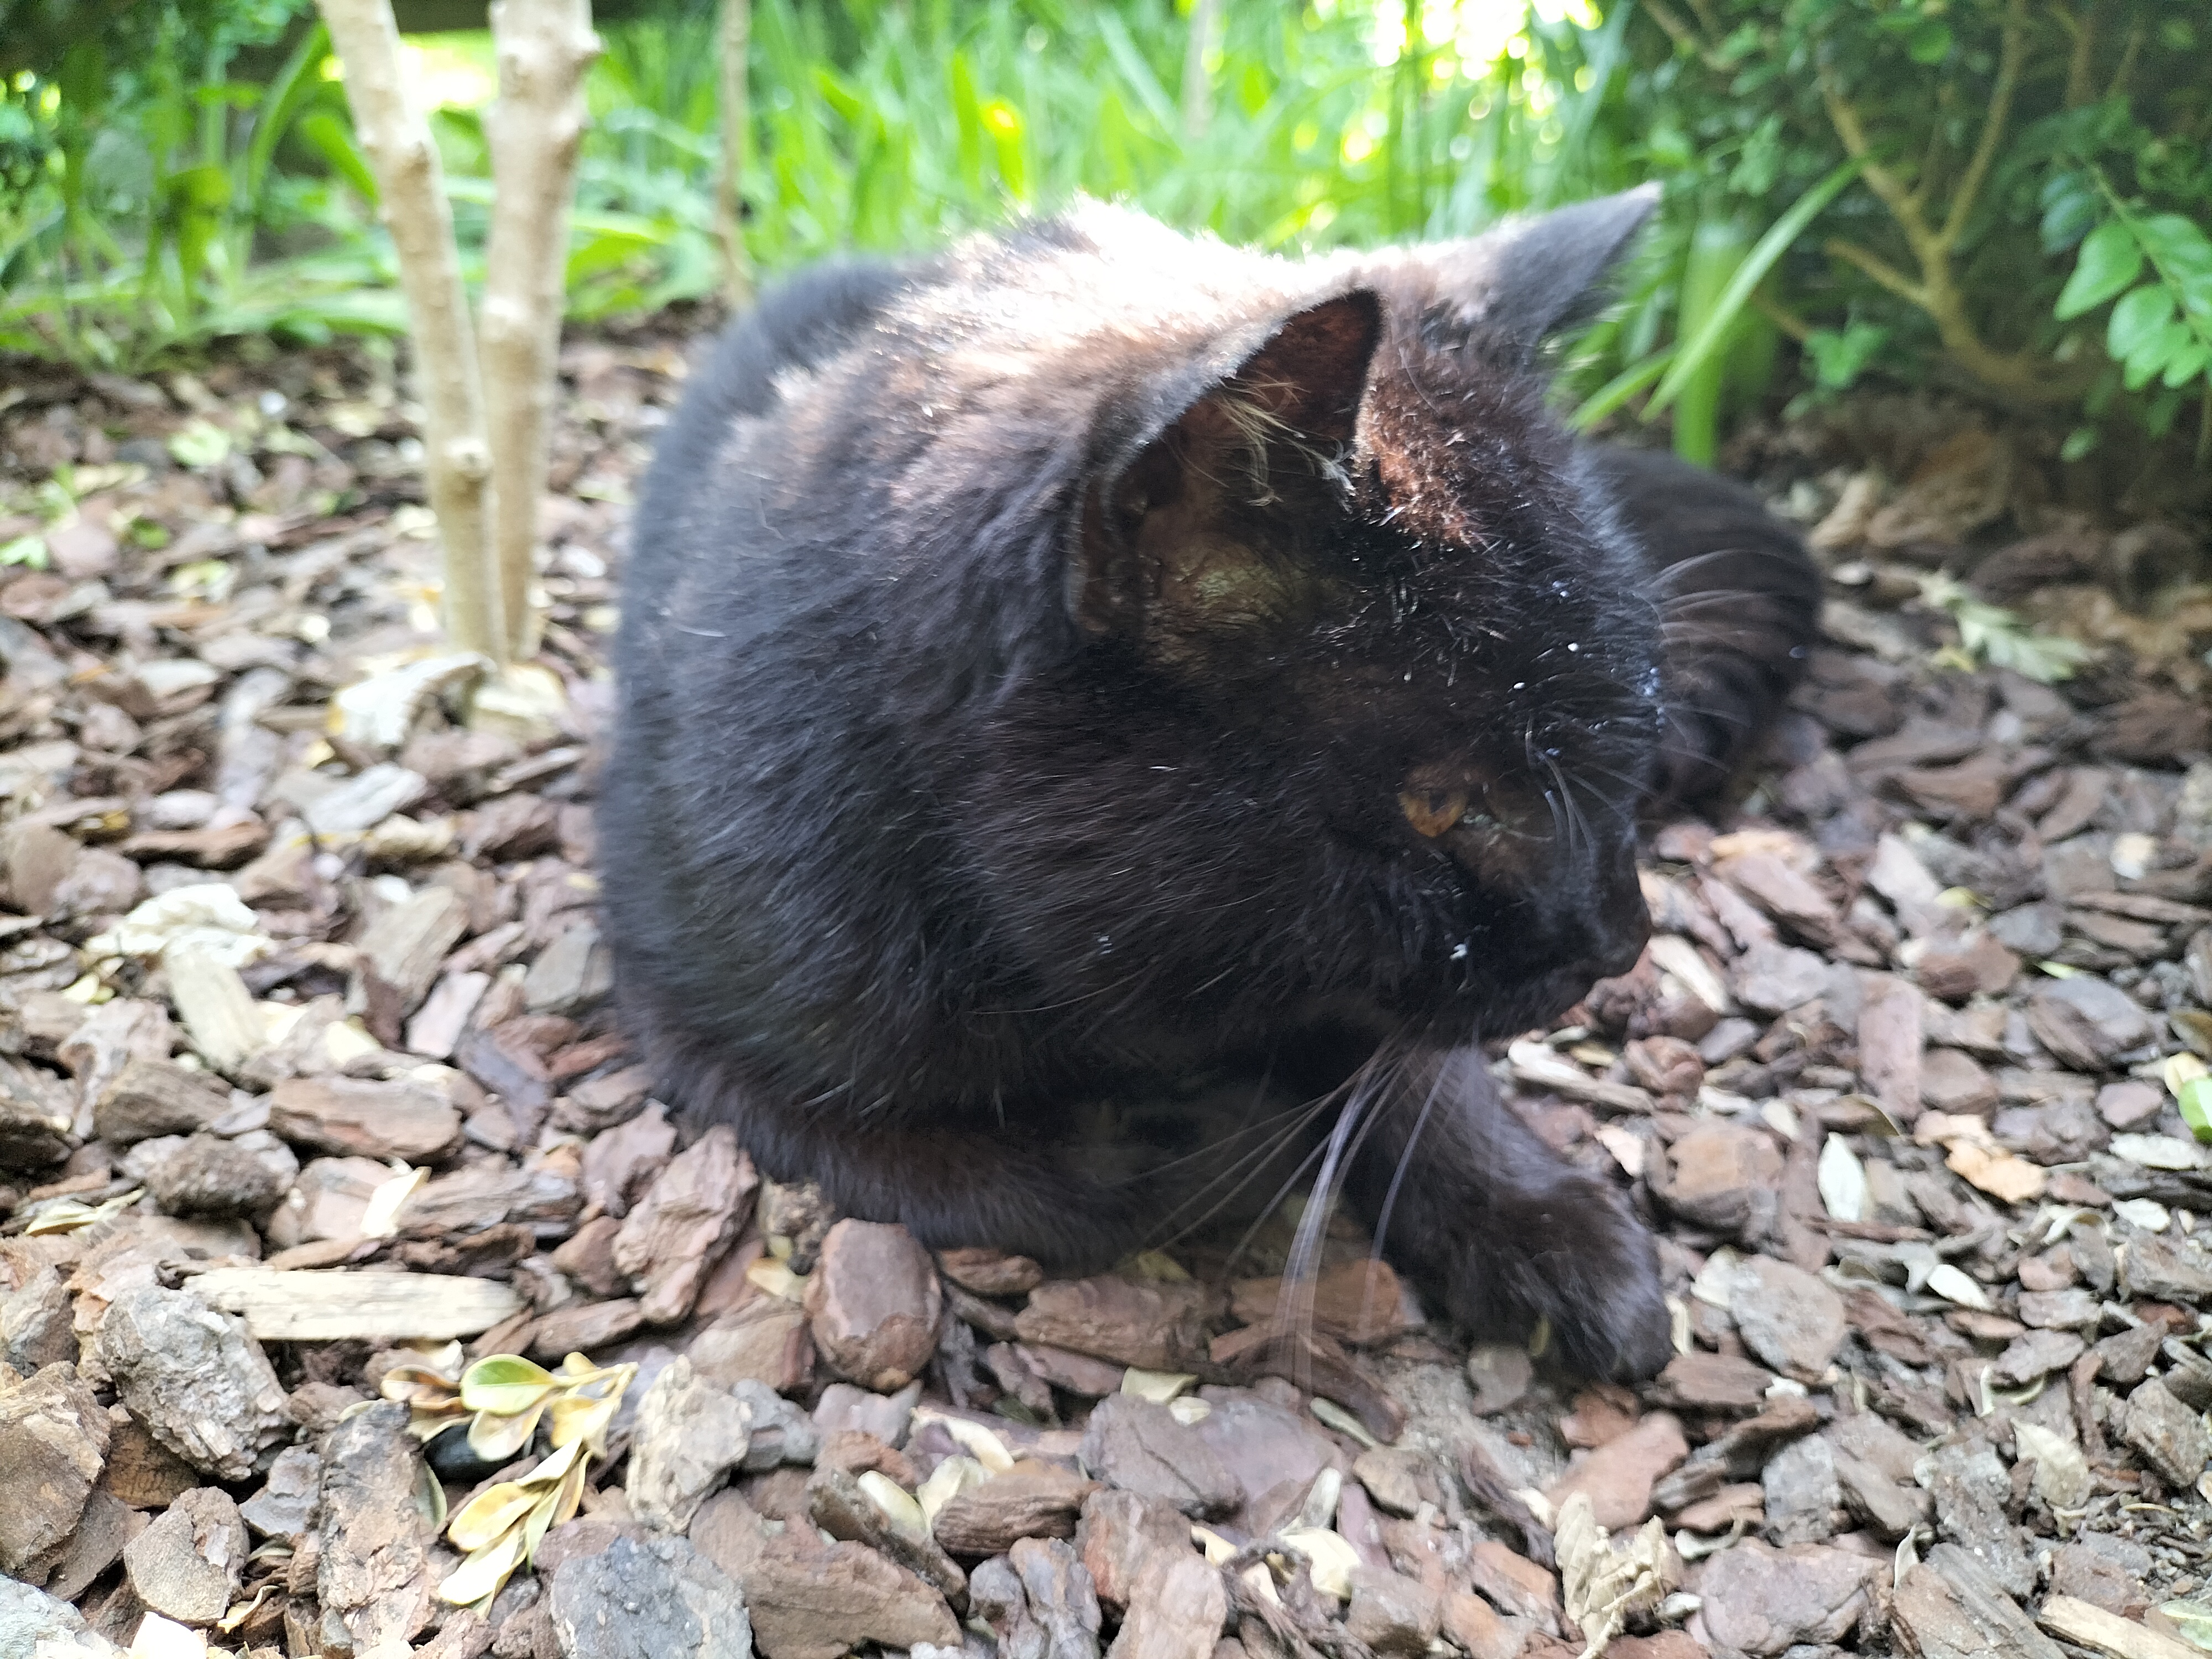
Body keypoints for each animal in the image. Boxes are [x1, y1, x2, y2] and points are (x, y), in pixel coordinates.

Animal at [599, 188, 1820, 1381]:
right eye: (1443, 803)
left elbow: (1413, 1071)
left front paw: (1535, 1221)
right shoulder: (726, 1043)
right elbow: (1055, 1178)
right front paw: (1225, 1131)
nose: (1620, 939)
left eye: (1623, 749)